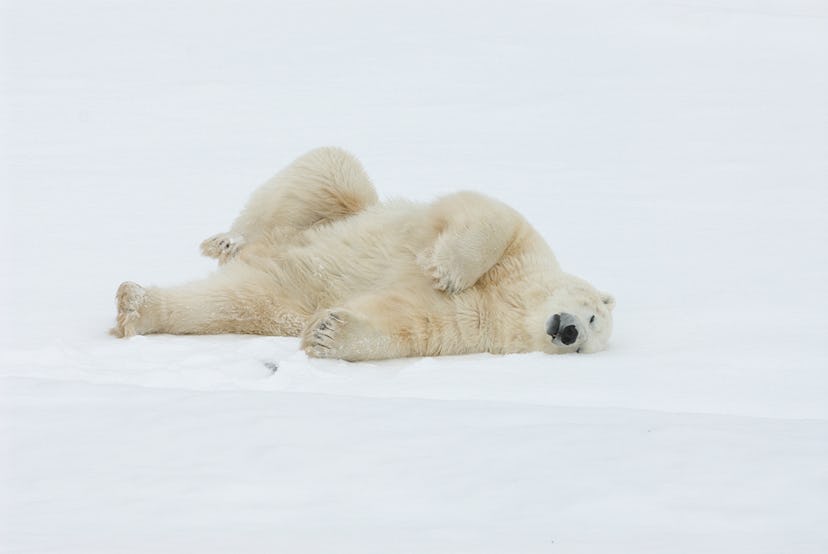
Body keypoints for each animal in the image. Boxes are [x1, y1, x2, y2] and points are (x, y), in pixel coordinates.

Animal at [113, 146, 612, 358]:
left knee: (227, 302)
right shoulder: (524, 252)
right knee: (331, 171)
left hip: (281, 295)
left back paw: (137, 307)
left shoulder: (473, 327)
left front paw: (326, 334)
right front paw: (445, 269)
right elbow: (490, 213)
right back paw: (228, 242)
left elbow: (407, 324)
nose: (568, 331)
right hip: (324, 210)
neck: (510, 299)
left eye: (587, 343)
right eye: (590, 315)